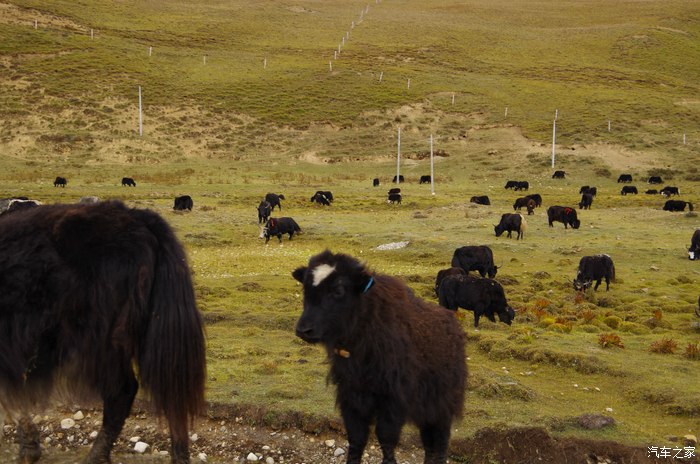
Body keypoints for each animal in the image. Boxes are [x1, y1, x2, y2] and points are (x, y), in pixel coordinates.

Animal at [293, 251, 466, 464]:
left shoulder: (393, 400)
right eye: (306, 287)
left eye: (339, 290)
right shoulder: (351, 398)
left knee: (441, 441)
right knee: (428, 443)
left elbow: (386, 438)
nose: (304, 330)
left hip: (443, 404)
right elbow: (356, 439)